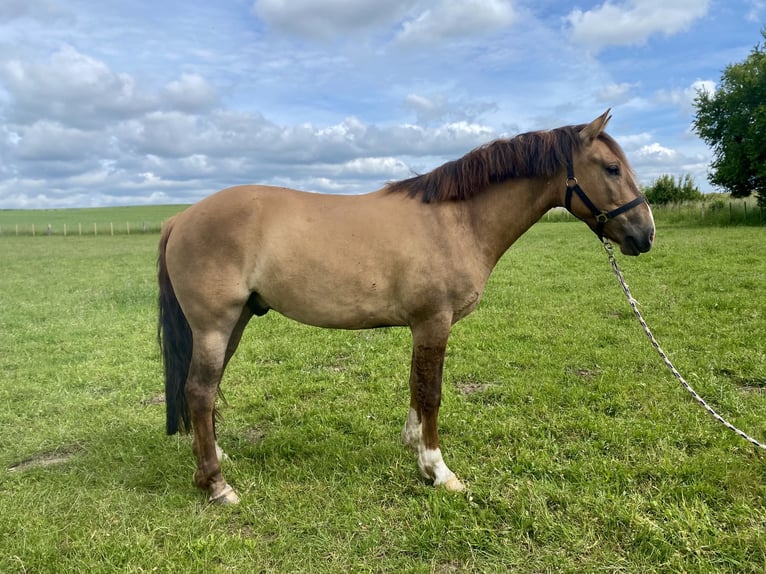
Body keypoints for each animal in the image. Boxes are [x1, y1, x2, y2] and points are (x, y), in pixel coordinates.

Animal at [159, 111, 656, 504]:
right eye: (612, 168)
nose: (645, 234)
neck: (456, 220)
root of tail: (180, 218)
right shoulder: (434, 322)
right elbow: (431, 392)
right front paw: (438, 470)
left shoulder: (425, 326)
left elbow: (417, 388)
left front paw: (414, 446)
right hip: (214, 325)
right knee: (200, 391)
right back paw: (217, 485)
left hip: (236, 321)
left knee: (205, 390)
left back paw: (215, 455)